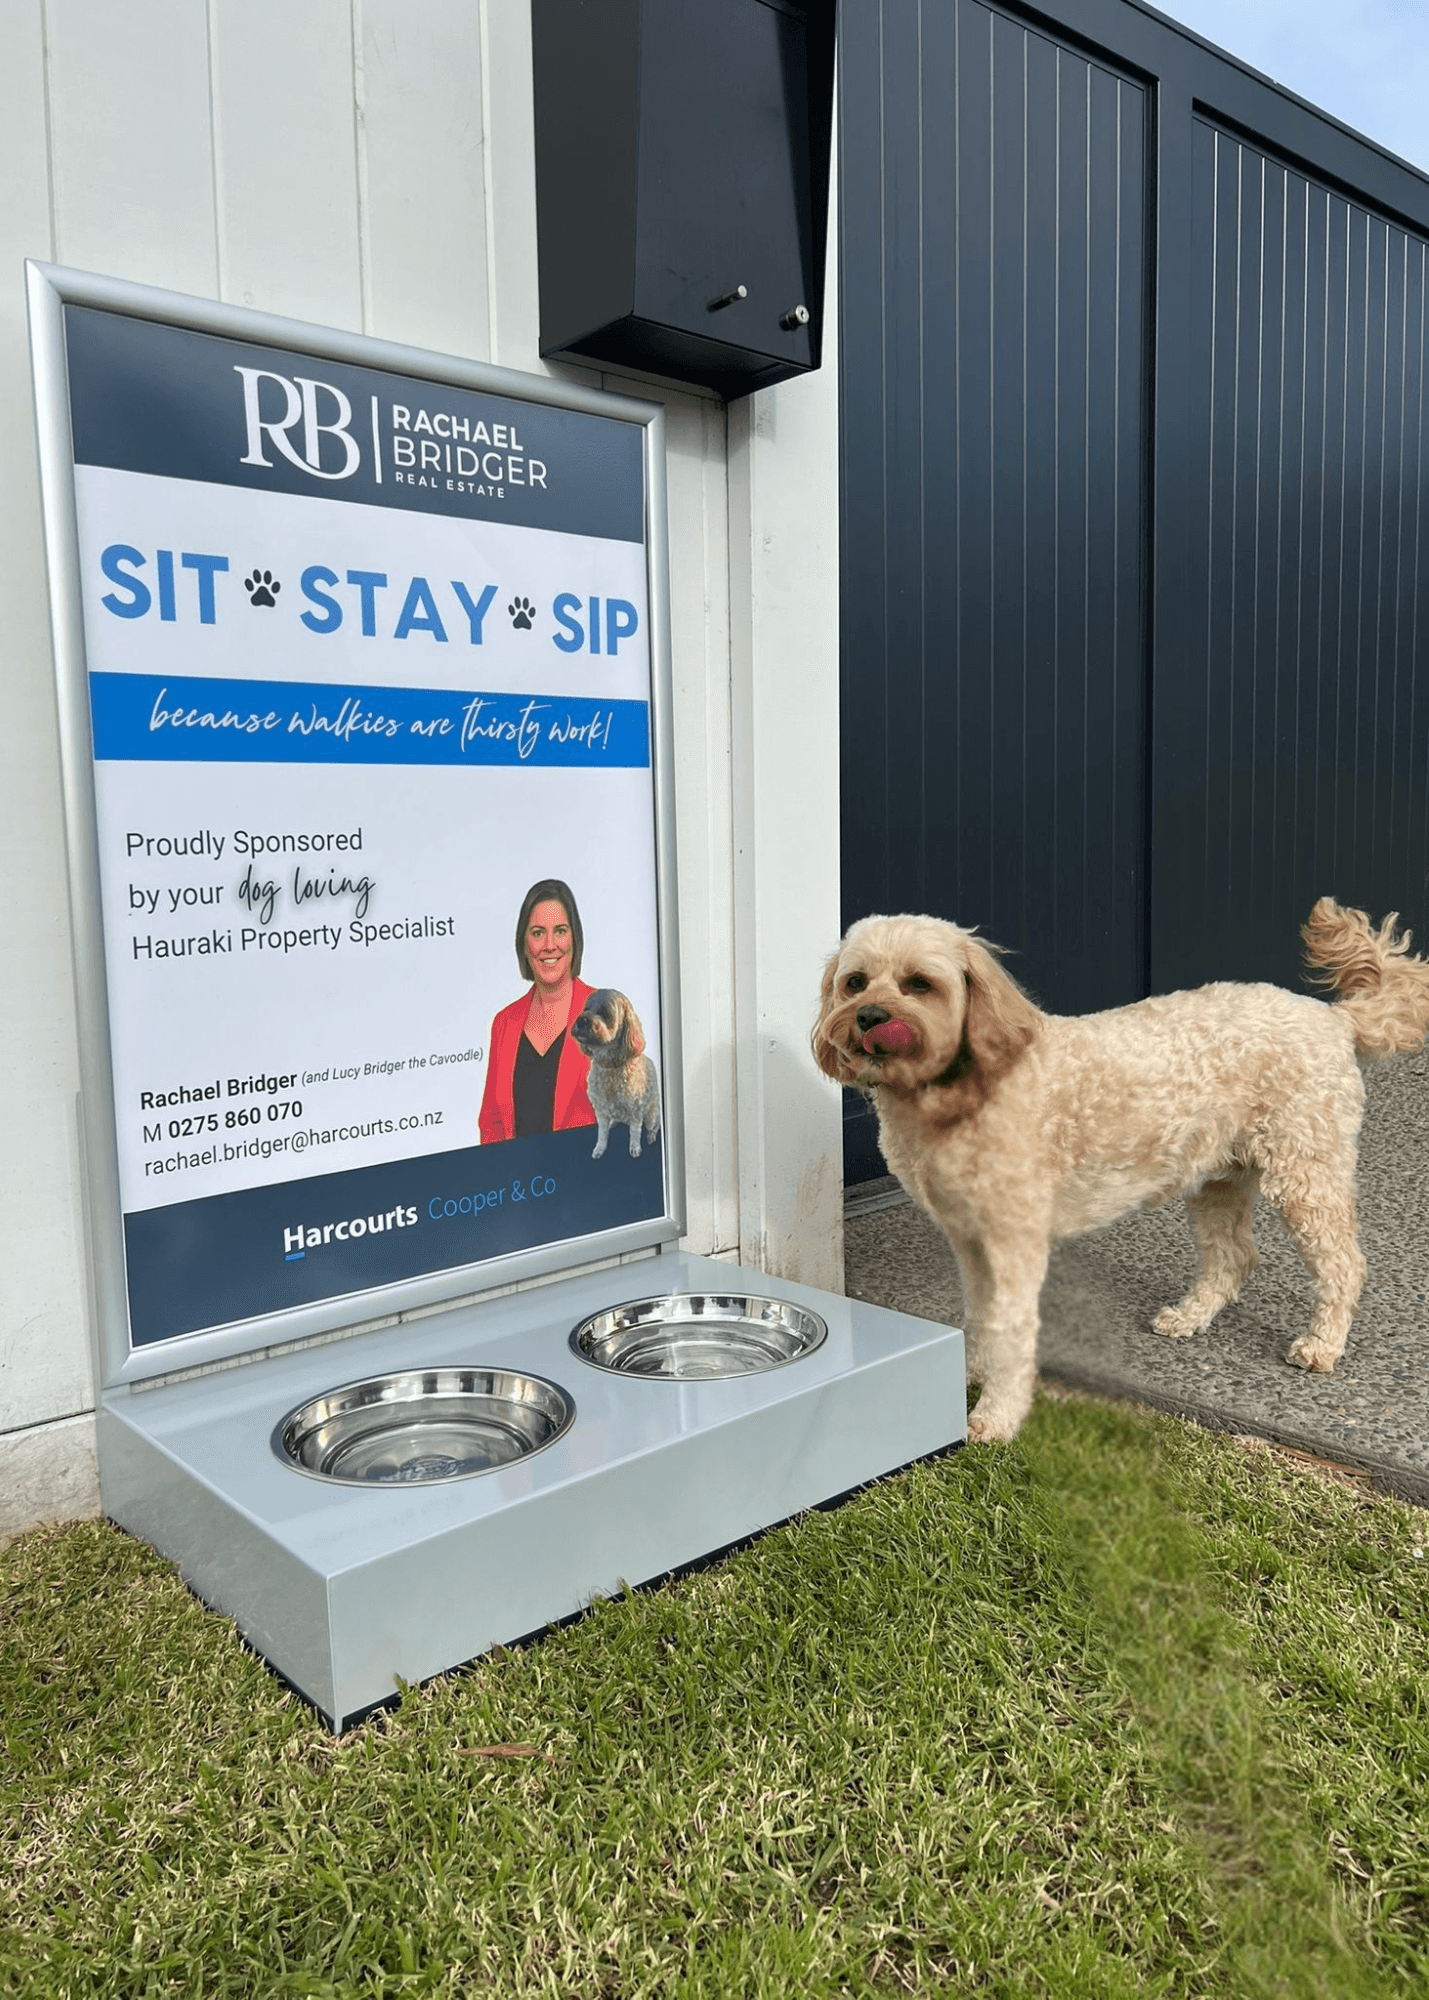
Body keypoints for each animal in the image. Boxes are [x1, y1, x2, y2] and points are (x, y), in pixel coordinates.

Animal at [570, 988, 662, 1159]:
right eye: (586, 1009)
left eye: (605, 1013)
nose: (581, 1020)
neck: (610, 1066)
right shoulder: (600, 1108)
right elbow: (602, 1133)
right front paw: (599, 1148)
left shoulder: (636, 1109)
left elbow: (635, 1132)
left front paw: (635, 1148)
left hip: (652, 1113)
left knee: (654, 1125)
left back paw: (651, 1135)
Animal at [813, 900, 1429, 1443]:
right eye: (856, 982)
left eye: (919, 983)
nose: (869, 1017)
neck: (960, 1091)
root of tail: (1333, 1017)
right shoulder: (969, 1239)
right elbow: (979, 1316)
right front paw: (964, 1373)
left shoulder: (1014, 1241)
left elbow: (1010, 1330)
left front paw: (995, 1416)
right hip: (1218, 1178)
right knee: (1234, 1256)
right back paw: (1190, 1317)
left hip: (1305, 1172)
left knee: (1344, 1264)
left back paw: (1322, 1345)